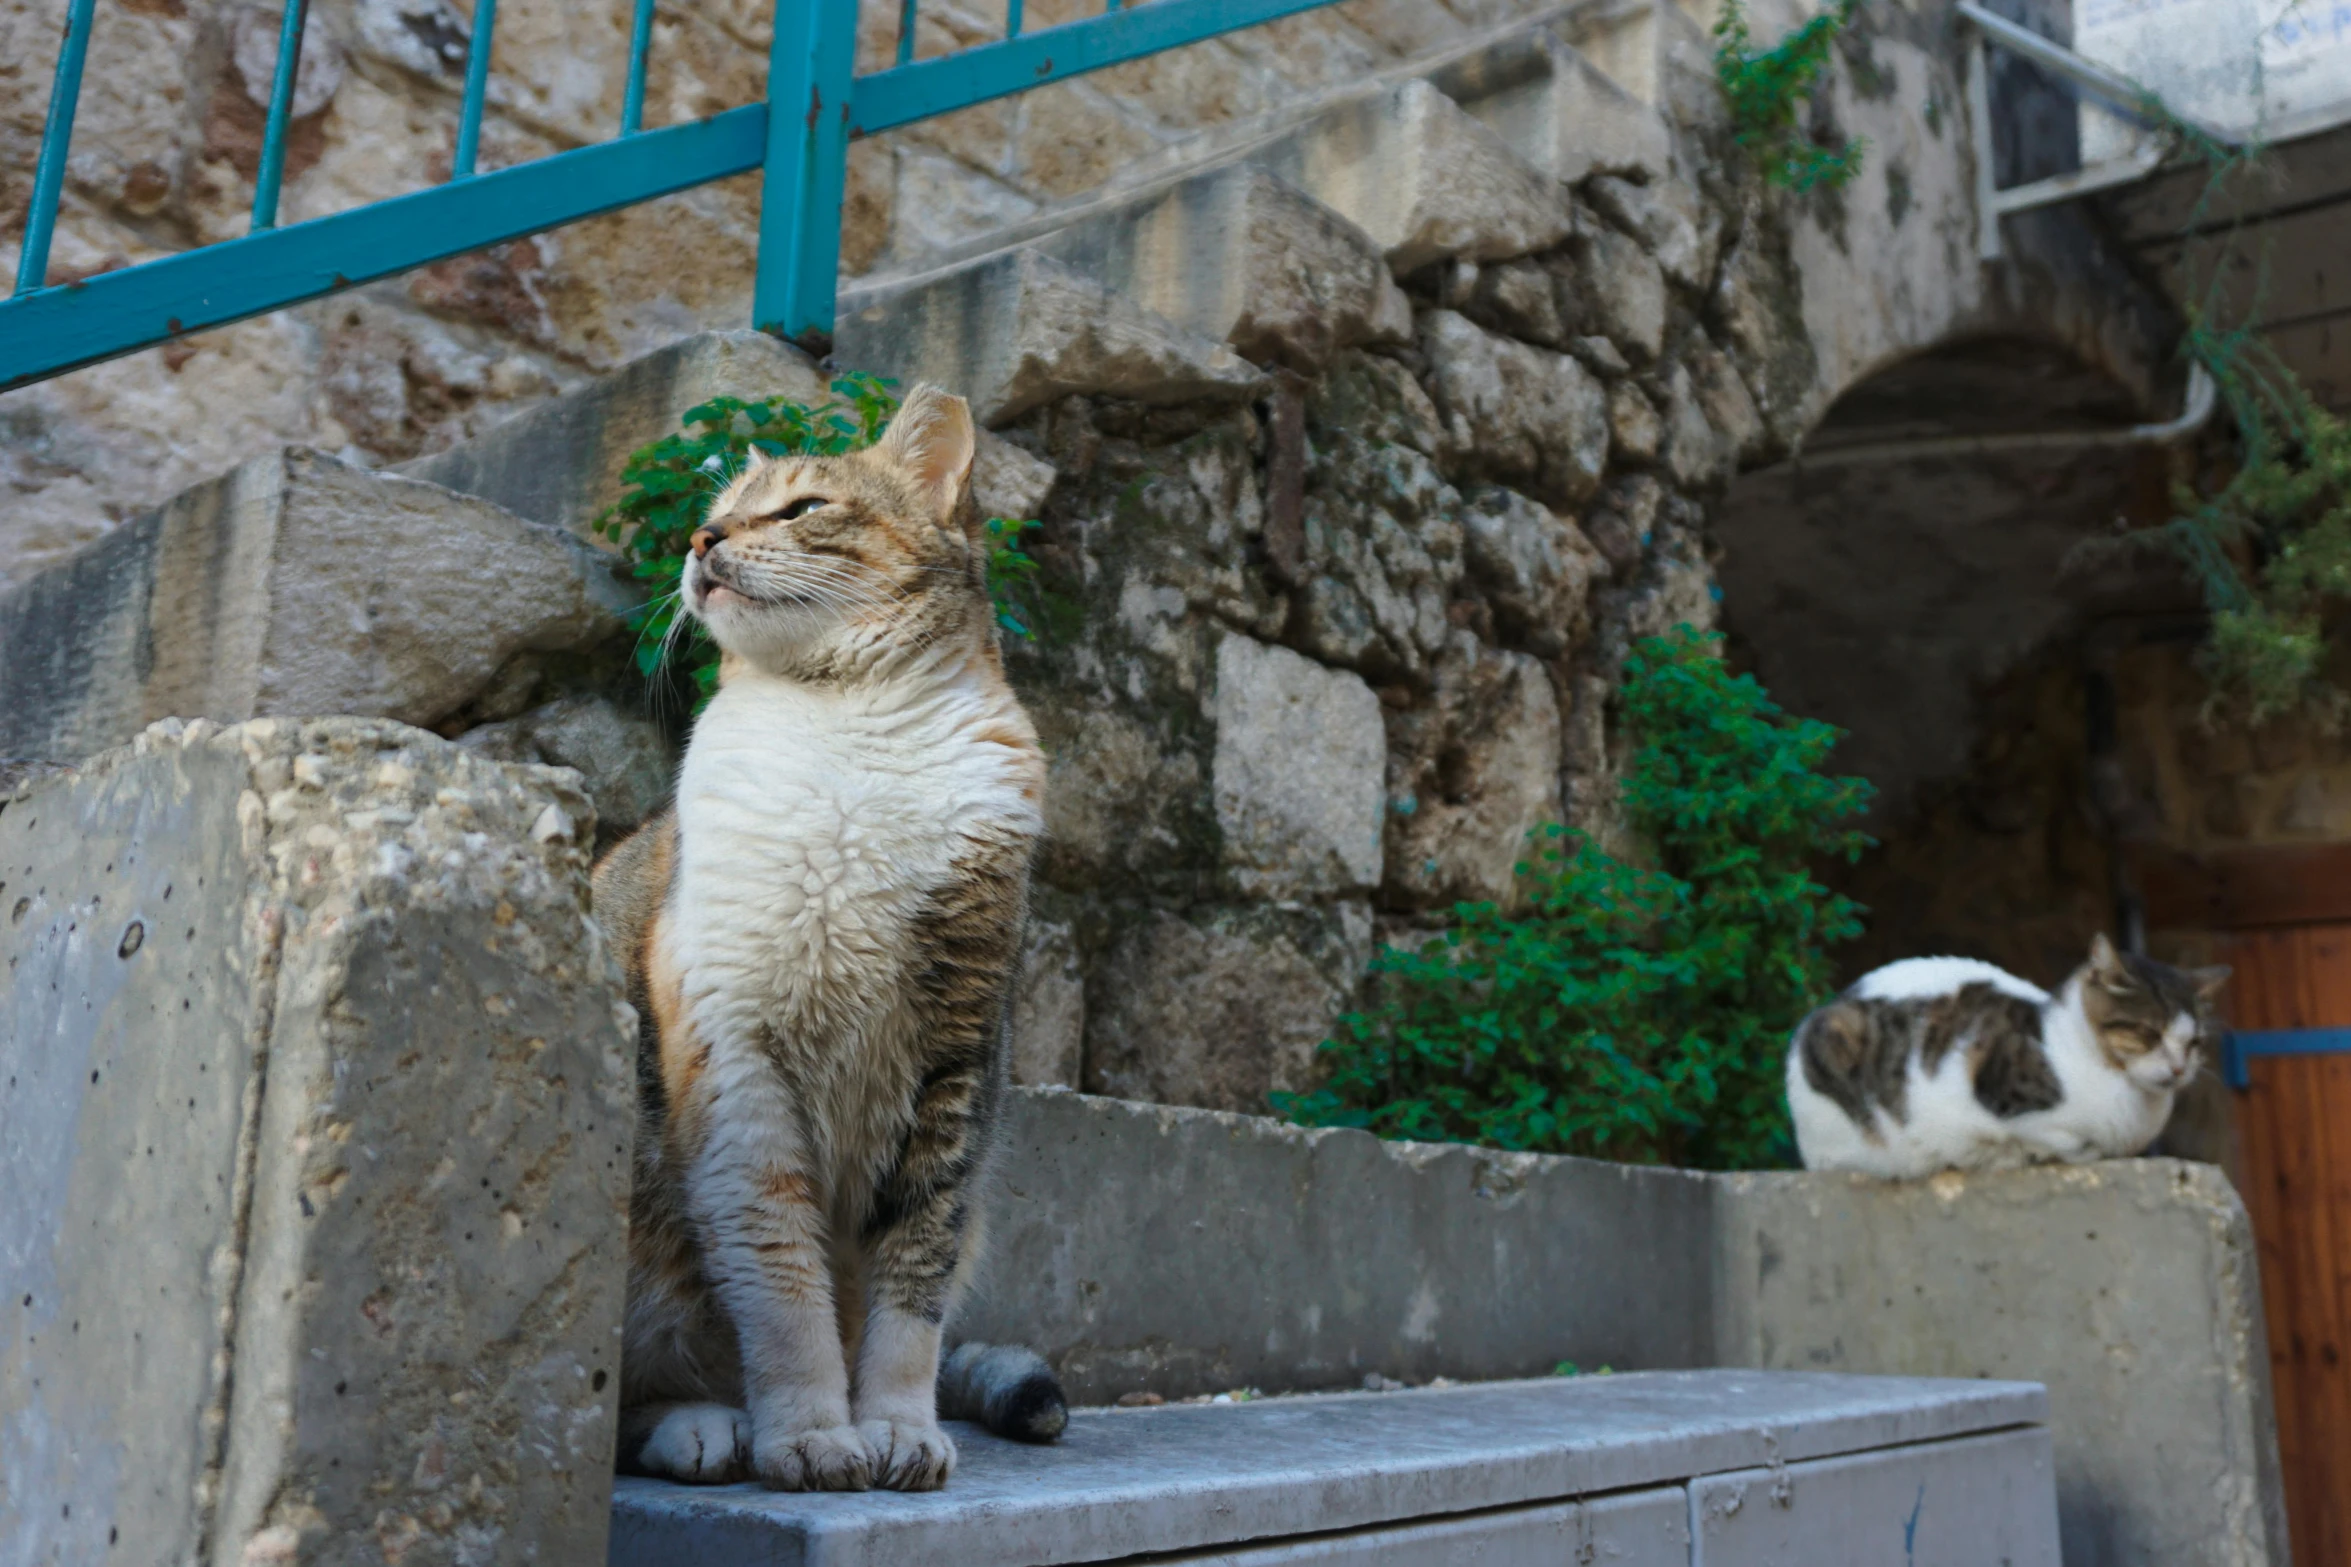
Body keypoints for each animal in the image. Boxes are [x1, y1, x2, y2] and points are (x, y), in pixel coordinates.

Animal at [587, 382, 1067, 1494]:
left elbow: (908, 1290)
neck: (852, 729)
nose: (702, 538)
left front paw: (892, 1426)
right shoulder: (734, 1062)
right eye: (715, 513)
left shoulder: (955, 1063)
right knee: (615, 1393)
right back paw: (707, 1426)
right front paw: (809, 1432)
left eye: (802, 507)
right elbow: (781, 1279)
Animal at [1786, 930, 2228, 1174]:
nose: (2178, 1069)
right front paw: (2021, 1154)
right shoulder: (1997, 1096)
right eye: (2148, 1033)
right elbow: (2066, 1140)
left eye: (2194, 1043)